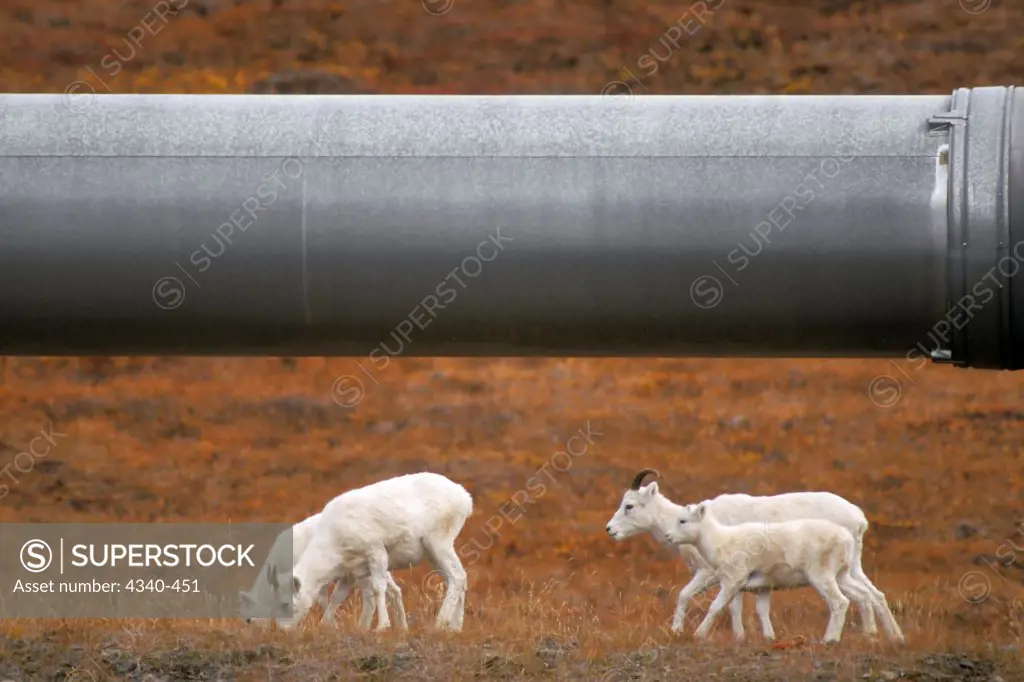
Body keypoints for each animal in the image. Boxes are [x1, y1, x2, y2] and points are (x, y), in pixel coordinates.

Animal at [239, 509, 407, 626]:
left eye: (248, 619)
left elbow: (322, 600)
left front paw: (330, 625)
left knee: (372, 597)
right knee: (395, 591)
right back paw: (402, 627)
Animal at [262, 471, 473, 630]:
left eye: (285, 604)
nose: (283, 629)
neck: (334, 535)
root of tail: (464, 497)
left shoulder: (376, 553)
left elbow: (378, 589)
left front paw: (381, 627)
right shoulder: (353, 572)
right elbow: (340, 598)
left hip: (439, 544)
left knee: (457, 576)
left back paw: (440, 623)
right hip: (433, 554)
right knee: (455, 579)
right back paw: (455, 628)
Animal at [663, 499, 905, 638]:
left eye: (683, 520)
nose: (668, 536)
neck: (721, 541)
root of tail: (847, 537)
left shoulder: (732, 582)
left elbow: (715, 607)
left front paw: (698, 635)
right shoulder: (761, 587)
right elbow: (761, 611)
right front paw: (769, 638)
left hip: (822, 577)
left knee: (840, 603)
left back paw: (829, 640)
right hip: (843, 576)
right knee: (868, 596)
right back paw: (891, 636)